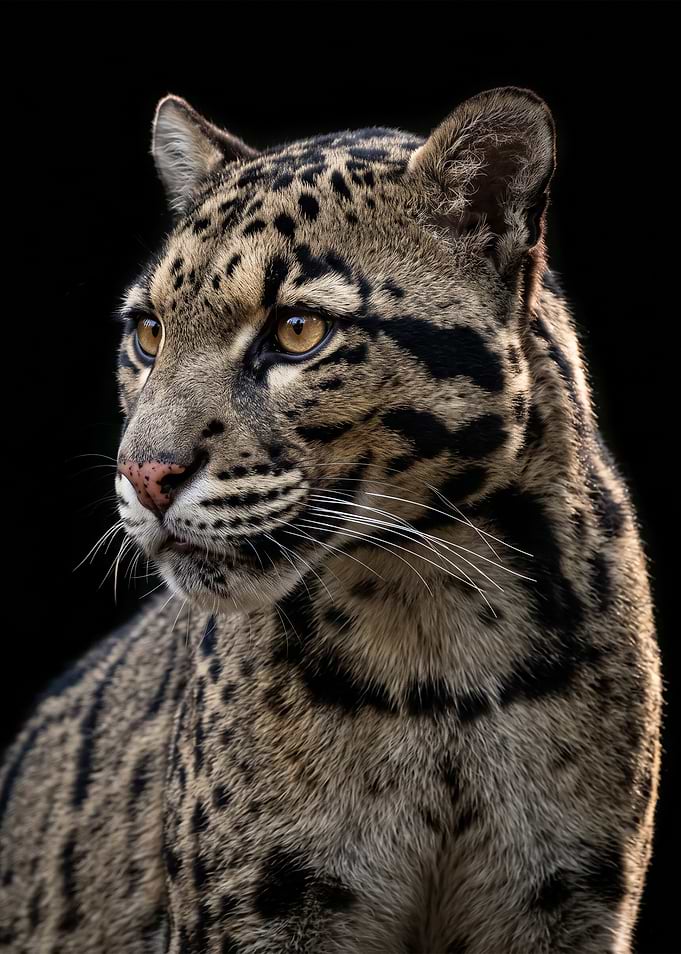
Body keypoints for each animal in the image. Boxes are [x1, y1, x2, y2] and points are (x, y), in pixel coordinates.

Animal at [0, 87, 662, 954]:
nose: (144, 477)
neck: (438, 635)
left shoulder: (566, 899)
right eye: (148, 333)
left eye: (297, 331)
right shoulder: (260, 907)